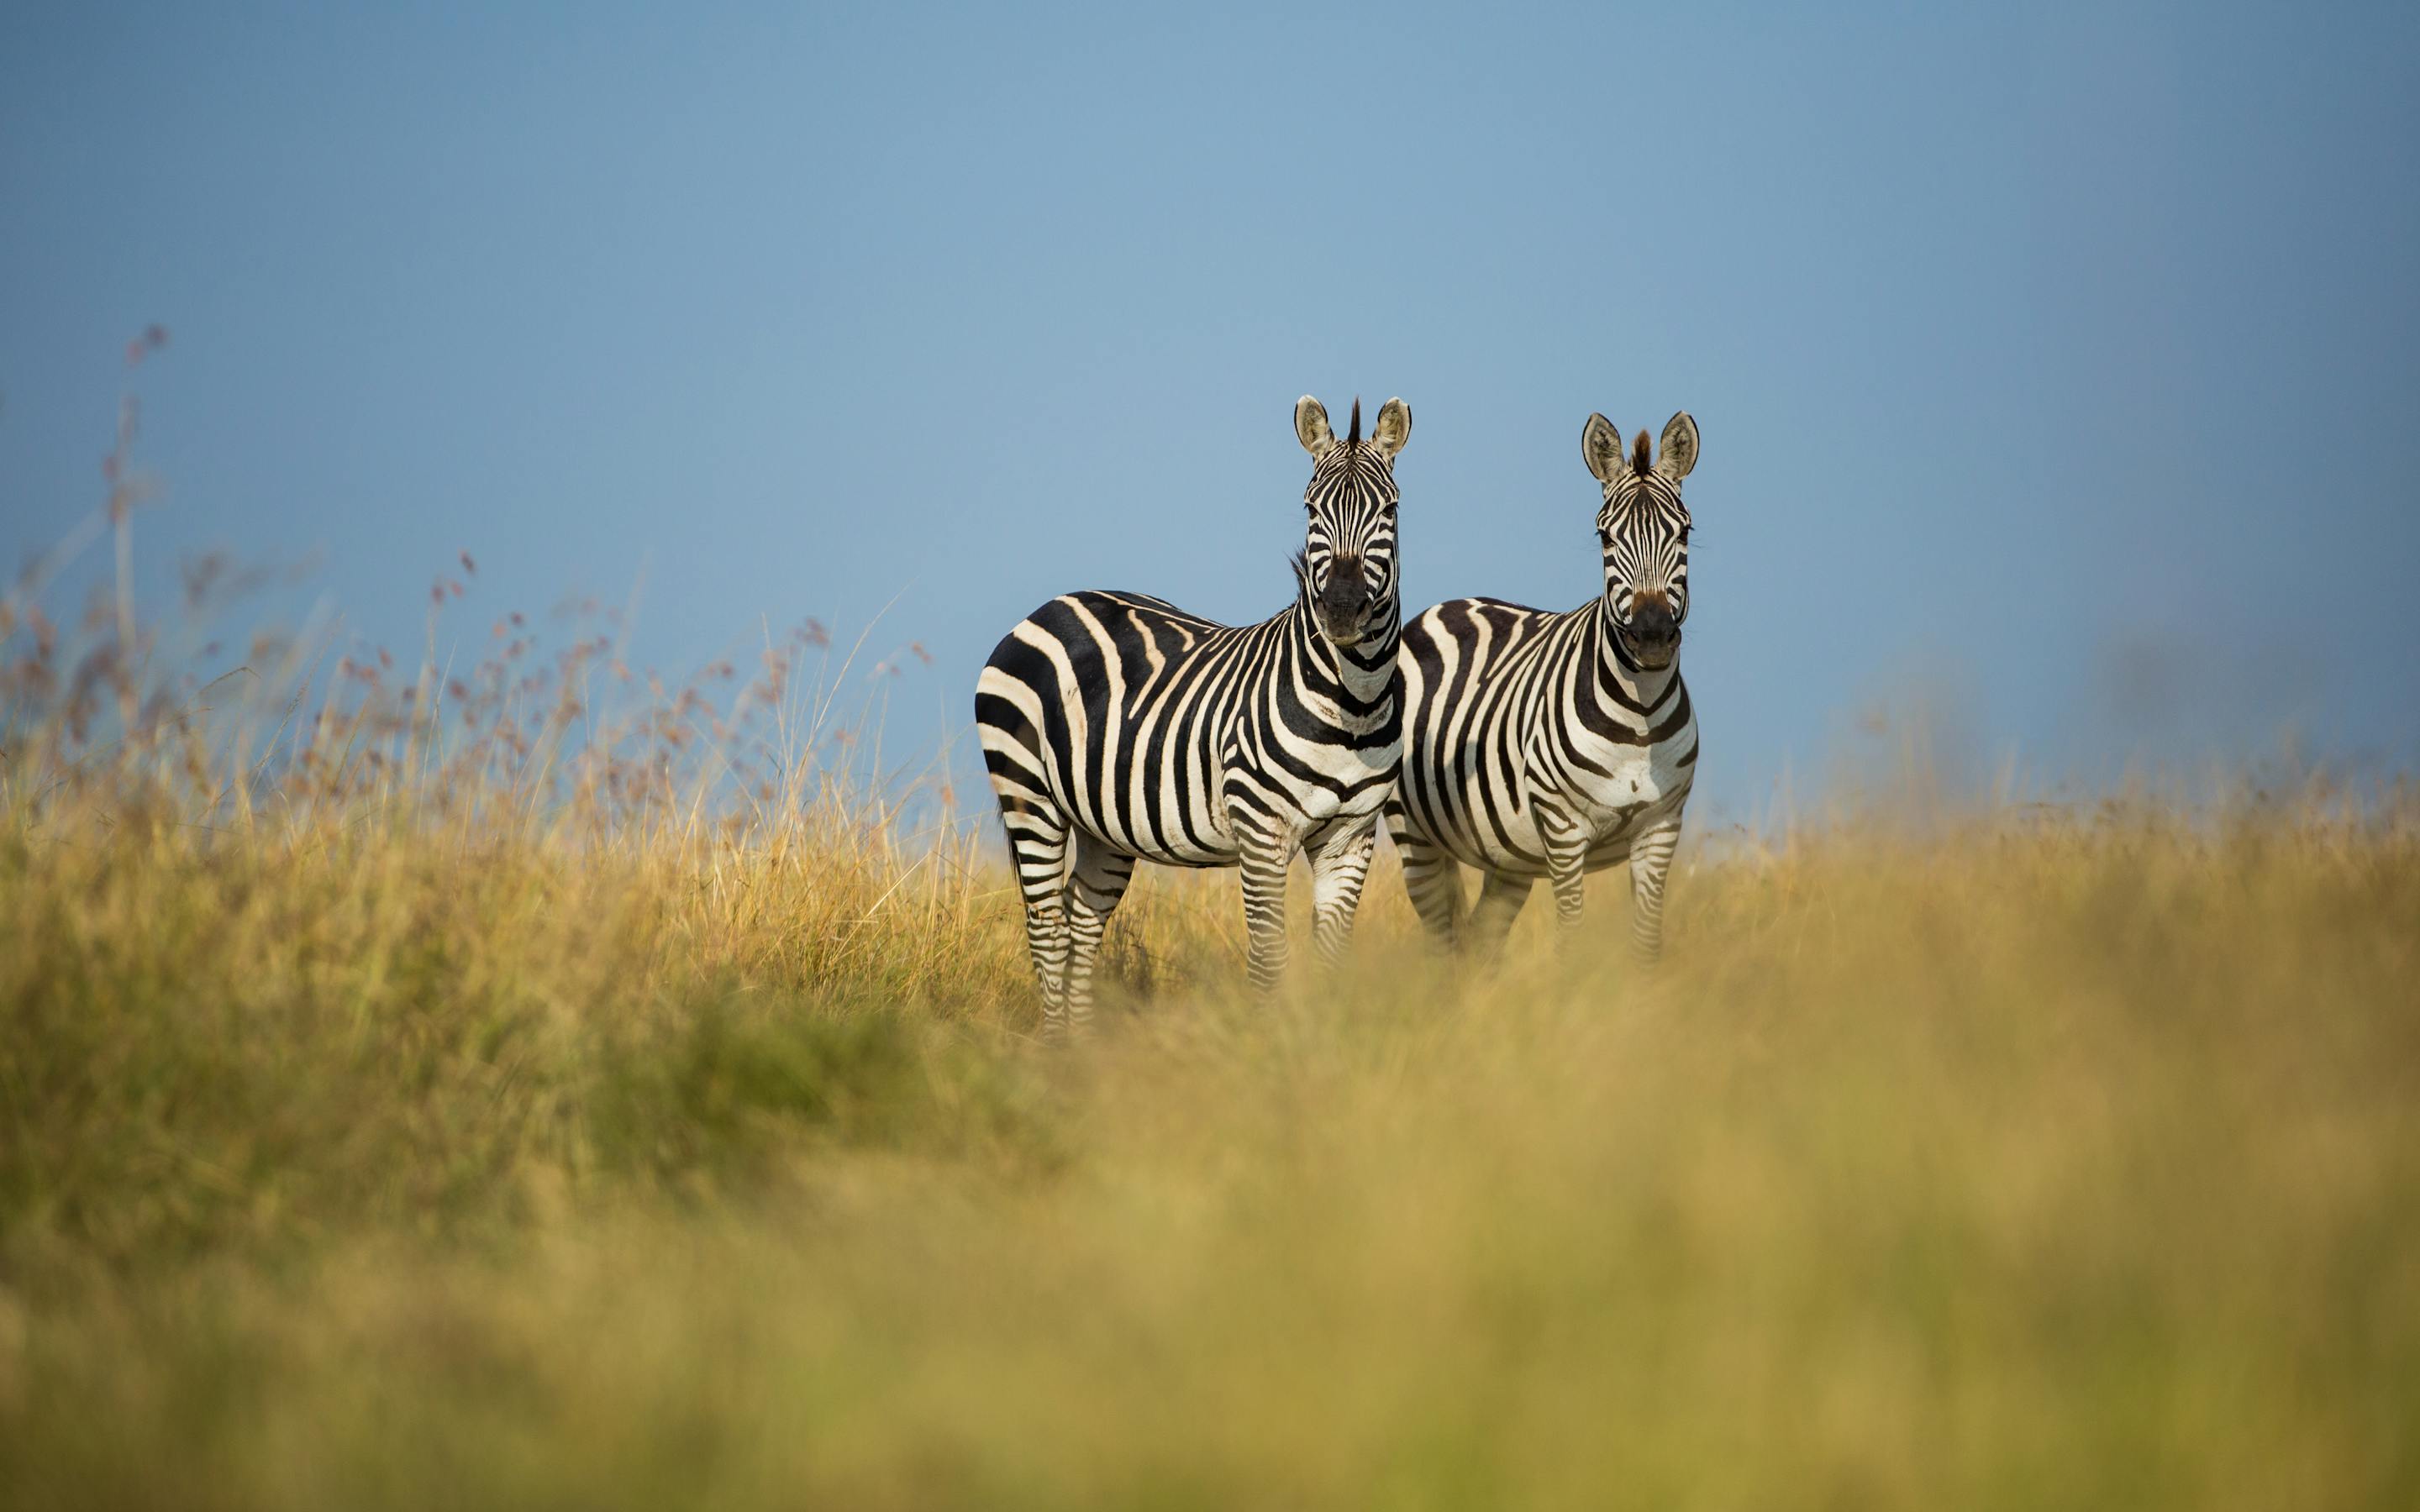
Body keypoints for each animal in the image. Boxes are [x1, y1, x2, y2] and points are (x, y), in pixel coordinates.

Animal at [975, 395, 1412, 1039]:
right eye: (1311, 510)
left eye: (1389, 510)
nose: (1341, 610)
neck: (1352, 703)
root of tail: (1050, 606)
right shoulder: (1261, 830)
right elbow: (1269, 959)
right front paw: (1270, 1051)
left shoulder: (1350, 838)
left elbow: (1332, 960)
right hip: (1029, 796)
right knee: (1046, 928)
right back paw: (1056, 1046)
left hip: (1102, 822)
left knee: (1081, 919)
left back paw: (1080, 1047)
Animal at [1386, 410, 1701, 961]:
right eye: (1605, 538)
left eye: (1684, 533)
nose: (1651, 636)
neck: (1639, 717)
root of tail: (1445, 606)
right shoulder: (1563, 826)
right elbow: (1572, 935)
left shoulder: (1662, 827)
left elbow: (1646, 943)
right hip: (1416, 837)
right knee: (1444, 944)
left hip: (1507, 854)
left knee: (1479, 942)